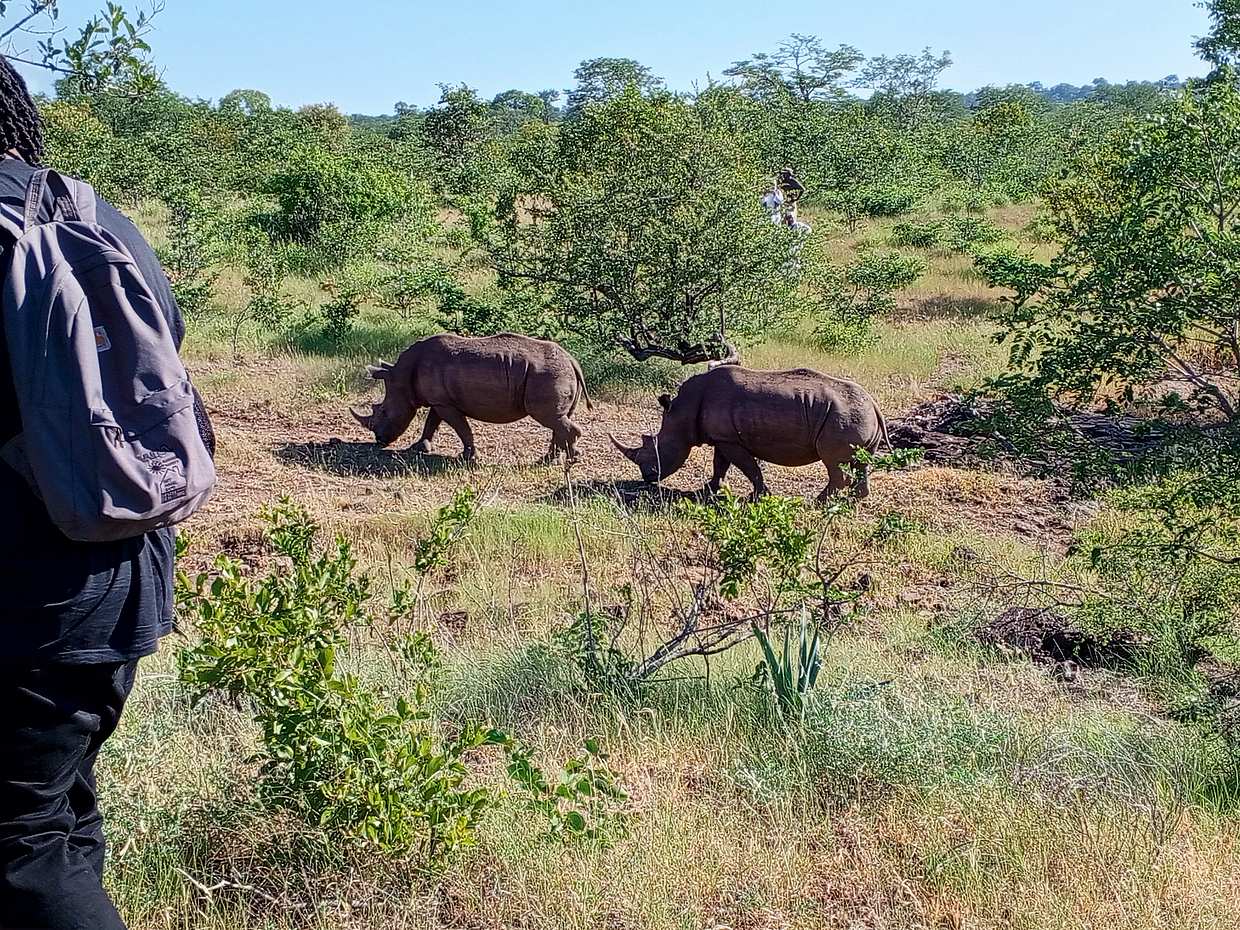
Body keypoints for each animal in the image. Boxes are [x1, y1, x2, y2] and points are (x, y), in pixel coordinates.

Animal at [351, 333, 592, 461]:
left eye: (384, 412)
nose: (379, 440)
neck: (401, 376)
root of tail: (572, 360)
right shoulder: (440, 400)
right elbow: (431, 422)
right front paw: (419, 448)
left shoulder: (445, 403)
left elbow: (461, 428)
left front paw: (467, 457)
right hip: (555, 373)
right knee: (558, 419)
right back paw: (549, 460)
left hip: (547, 374)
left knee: (549, 417)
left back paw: (571, 458)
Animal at [611, 365, 889, 500]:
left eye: (657, 450)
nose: (647, 477)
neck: (681, 412)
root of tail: (874, 404)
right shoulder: (722, 438)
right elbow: (720, 464)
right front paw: (708, 490)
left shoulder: (731, 440)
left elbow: (748, 467)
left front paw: (759, 495)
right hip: (857, 414)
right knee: (860, 462)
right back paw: (852, 501)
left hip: (843, 417)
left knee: (833, 463)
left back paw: (816, 503)